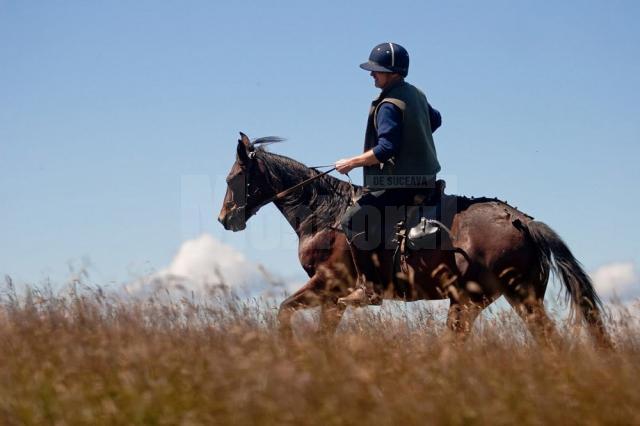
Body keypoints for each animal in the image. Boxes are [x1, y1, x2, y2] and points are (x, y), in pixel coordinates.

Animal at [219, 133, 608, 346]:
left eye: (232, 178)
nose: (224, 219)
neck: (324, 214)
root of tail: (523, 222)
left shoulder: (327, 284)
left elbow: (284, 311)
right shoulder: (331, 297)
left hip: (469, 301)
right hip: (517, 297)